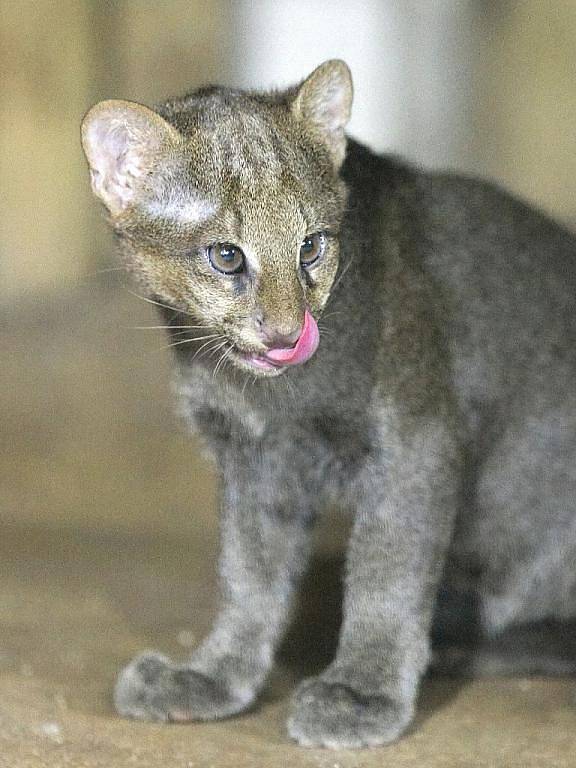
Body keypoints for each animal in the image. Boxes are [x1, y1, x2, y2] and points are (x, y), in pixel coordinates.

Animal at [81, 61, 576, 752]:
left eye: (311, 246)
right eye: (226, 256)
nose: (288, 333)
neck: (267, 396)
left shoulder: (414, 441)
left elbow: (386, 572)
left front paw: (362, 692)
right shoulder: (256, 459)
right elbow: (248, 571)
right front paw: (214, 675)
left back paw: (460, 642)